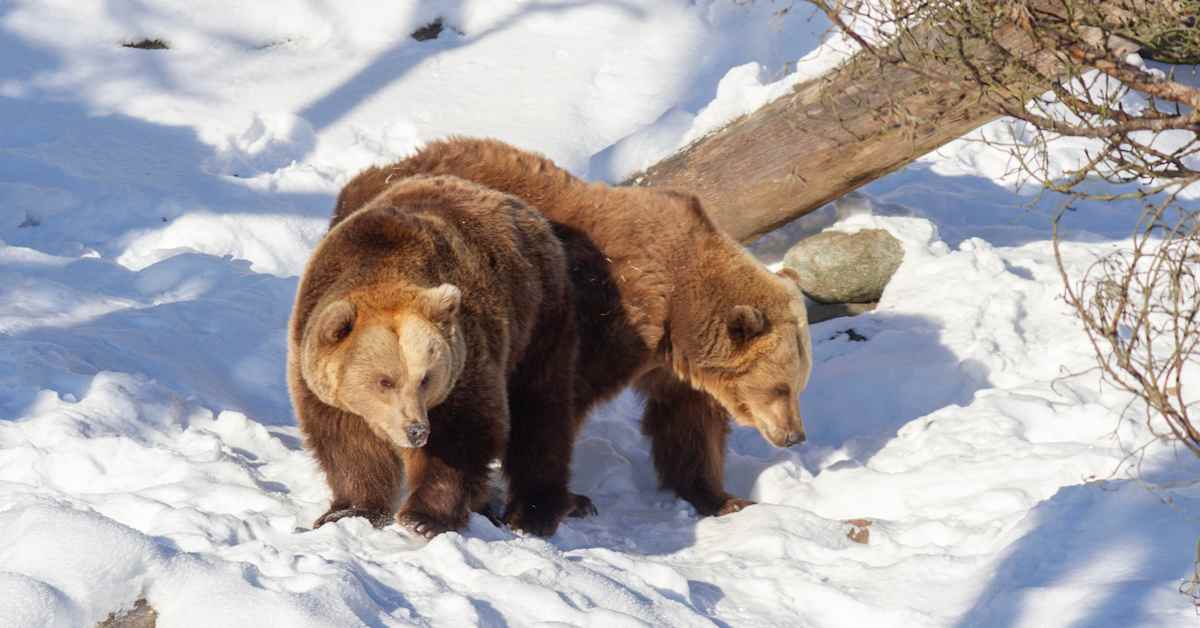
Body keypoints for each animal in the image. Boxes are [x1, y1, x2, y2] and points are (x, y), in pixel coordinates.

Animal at [288, 174, 594, 538]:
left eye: (425, 378)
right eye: (384, 381)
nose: (416, 430)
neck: (381, 266)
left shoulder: (465, 360)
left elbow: (462, 434)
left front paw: (423, 518)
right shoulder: (319, 377)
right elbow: (346, 443)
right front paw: (348, 511)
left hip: (539, 321)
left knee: (542, 411)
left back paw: (533, 512)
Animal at [329, 137, 813, 518]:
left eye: (797, 385)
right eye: (780, 387)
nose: (794, 435)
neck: (677, 312)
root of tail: (361, 183)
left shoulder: (671, 364)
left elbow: (689, 425)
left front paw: (722, 497)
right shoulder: (609, 315)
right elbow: (565, 400)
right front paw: (569, 500)